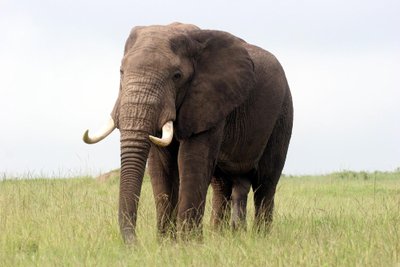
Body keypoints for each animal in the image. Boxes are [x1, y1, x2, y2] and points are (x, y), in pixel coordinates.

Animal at [83, 23, 292, 245]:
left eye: (177, 76)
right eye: (121, 72)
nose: (135, 244)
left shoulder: (209, 101)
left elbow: (192, 160)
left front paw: (187, 244)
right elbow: (161, 164)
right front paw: (166, 243)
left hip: (283, 114)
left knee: (266, 182)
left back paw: (261, 238)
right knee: (222, 184)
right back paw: (220, 237)